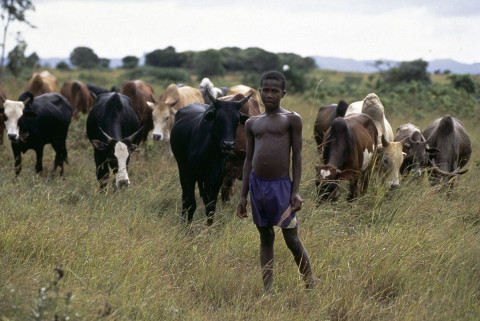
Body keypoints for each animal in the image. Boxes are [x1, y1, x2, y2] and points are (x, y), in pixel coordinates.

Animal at [171, 90, 251, 225]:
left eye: (236, 121)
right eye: (218, 119)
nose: (228, 145)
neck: (211, 153)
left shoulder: (217, 178)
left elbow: (211, 207)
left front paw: (209, 228)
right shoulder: (190, 175)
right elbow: (191, 203)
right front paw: (187, 227)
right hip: (182, 169)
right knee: (185, 198)